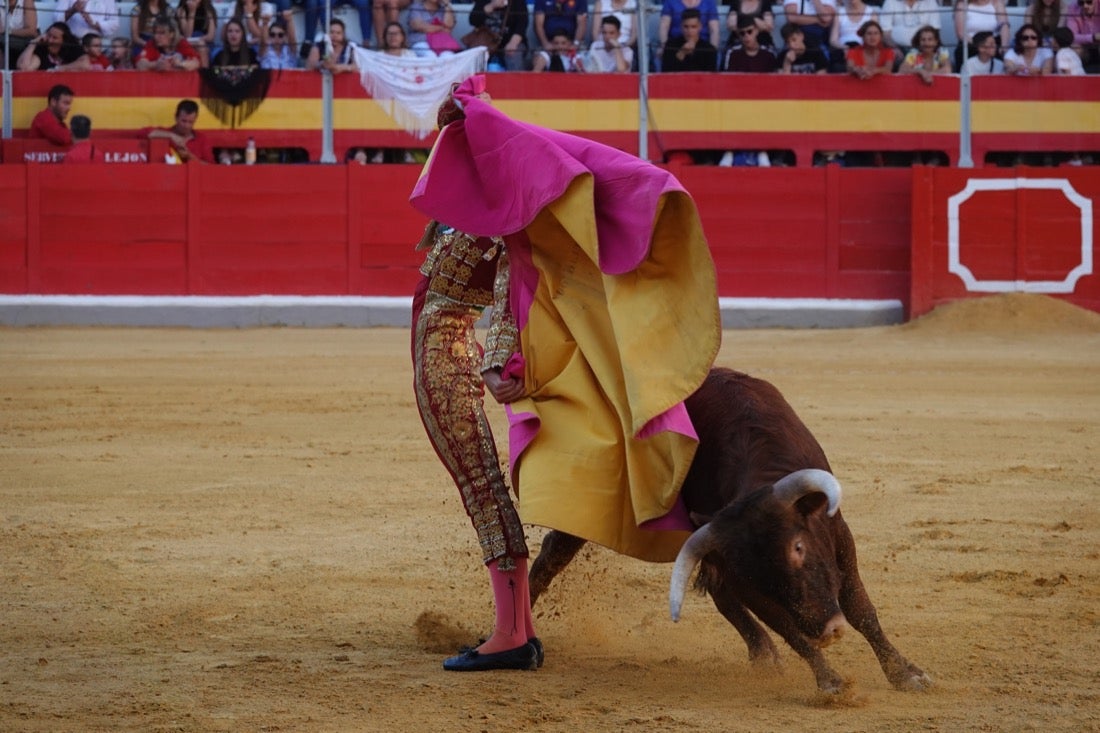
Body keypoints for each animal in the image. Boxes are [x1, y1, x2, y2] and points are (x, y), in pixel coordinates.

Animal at [528, 367, 932, 695]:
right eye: (756, 572)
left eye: (799, 547)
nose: (827, 630)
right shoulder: (742, 576)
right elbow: (789, 628)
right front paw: (831, 682)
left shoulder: (839, 537)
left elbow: (861, 608)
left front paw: (906, 674)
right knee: (552, 555)